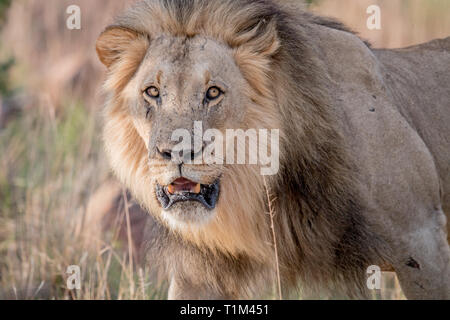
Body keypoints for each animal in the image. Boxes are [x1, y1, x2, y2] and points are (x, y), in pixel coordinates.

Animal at [95, 0, 450, 300]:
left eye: (213, 92)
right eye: (152, 92)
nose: (177, 153)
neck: (261, 188)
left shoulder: (422, 241)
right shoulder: (200, 272)